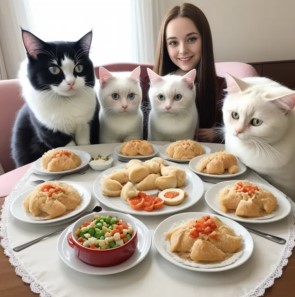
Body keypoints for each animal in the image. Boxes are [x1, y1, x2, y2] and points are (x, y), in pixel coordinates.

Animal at [11, 29, 99, 166]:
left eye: (79, 67)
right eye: (54, 69)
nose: (71, 82)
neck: (67, 101)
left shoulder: (86, 124)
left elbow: (84, 142)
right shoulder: (48, 131)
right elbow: (70, 146)